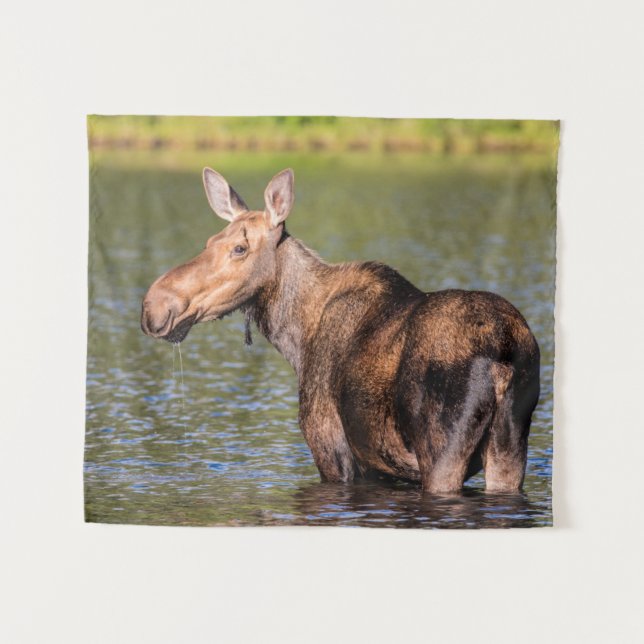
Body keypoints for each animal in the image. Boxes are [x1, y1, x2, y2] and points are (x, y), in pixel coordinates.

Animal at [141, 168, 540, 494]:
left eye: (240, 248)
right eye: (209, 242)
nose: (154, 305)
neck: (296, 338)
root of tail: (505, 353)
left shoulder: (331, 449)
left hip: (442, 453)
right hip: (509, 449)